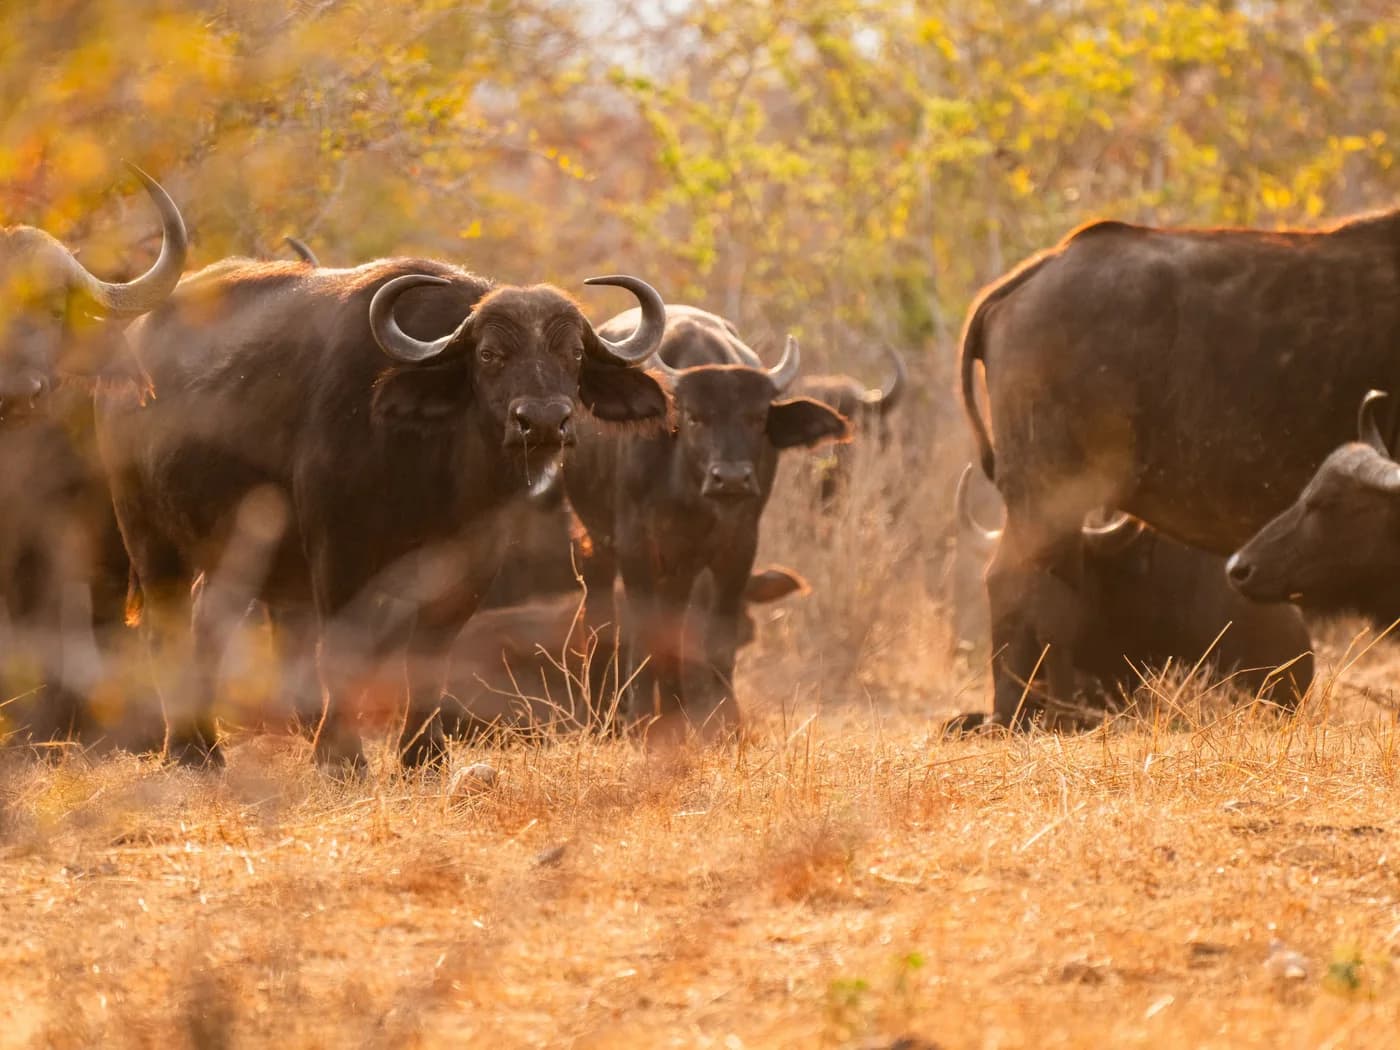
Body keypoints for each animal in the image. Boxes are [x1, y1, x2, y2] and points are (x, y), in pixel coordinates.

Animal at [96, 259, 670, 769]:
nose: (545, 421)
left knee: (206, 624)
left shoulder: (472, 561)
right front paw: (340, 759)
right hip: (146, 530)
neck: (433, 464)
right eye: (489, 354)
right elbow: (340, 650)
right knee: (164, 629)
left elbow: (430, 655)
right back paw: (189, 752)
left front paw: (424, 758)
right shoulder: (338, 550)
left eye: (573, 355)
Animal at [564, 305, 848, 734]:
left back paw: (675, 708)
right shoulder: (635, 545)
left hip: (680, 568)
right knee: (600, 619)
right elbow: (643, 634)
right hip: (594, 541)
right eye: (695, 417)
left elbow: (715, 638)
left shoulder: (739, 548)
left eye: (756, 417)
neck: (686, 488)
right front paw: (643, 721)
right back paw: (601, 715)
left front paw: (725, 723)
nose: (730, 478)